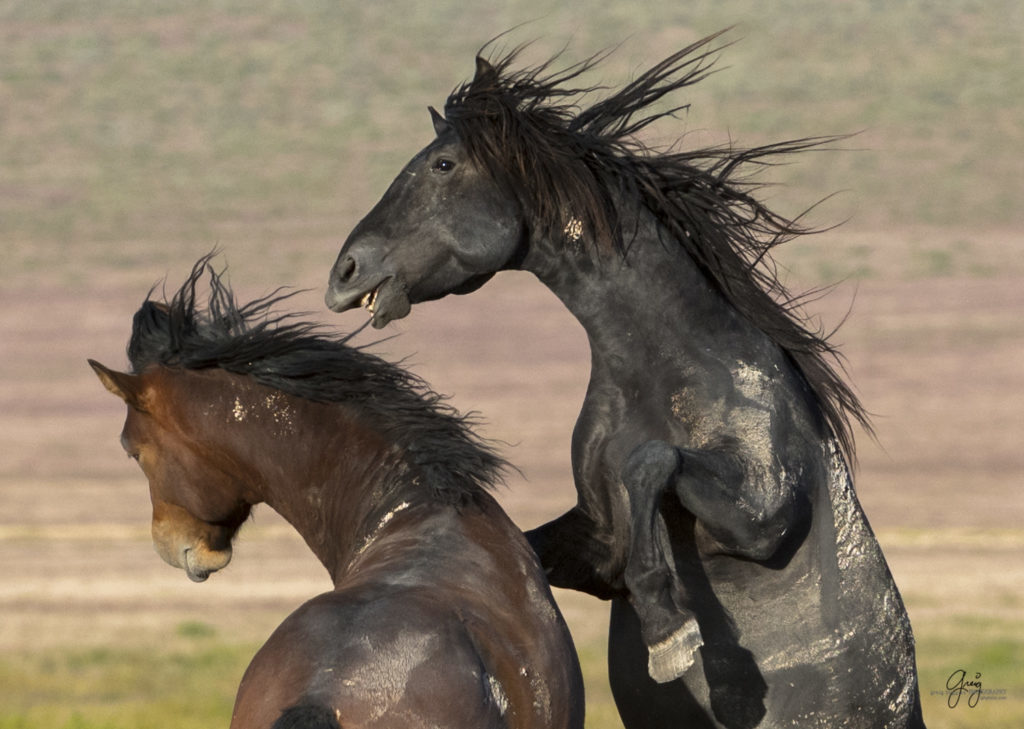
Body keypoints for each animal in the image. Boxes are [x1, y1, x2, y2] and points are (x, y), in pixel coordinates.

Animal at [327, 34, 929, 729]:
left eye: (443, 164)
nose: (343, 273)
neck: (675, 365)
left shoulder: (764, 521)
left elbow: (651, 462)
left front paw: (669, 631)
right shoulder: (597, 544)